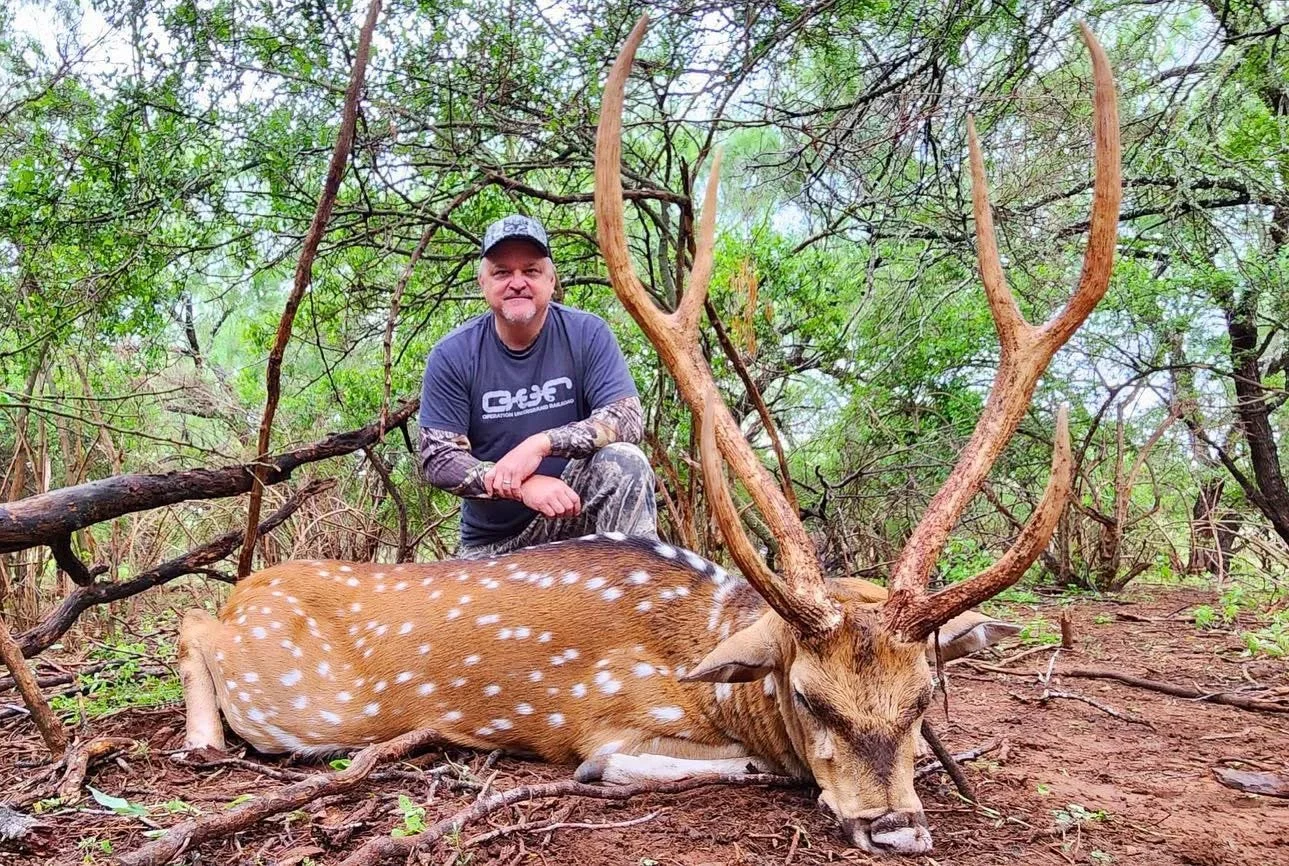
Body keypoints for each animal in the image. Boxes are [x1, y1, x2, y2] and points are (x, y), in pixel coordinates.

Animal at [175, 15, 1119, 855]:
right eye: (809, 696)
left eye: (925, 695)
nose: (894, 827)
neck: (713, 668)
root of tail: (247, 590)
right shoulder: (614, 719)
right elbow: (665, 763)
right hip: (295, 701)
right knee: (189, 621)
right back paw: (202, 739)